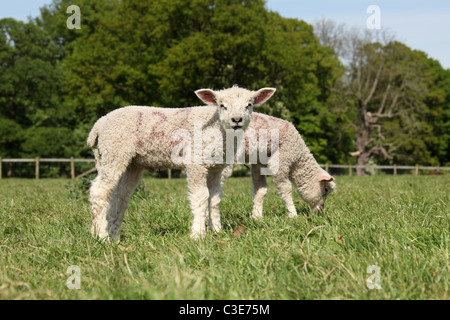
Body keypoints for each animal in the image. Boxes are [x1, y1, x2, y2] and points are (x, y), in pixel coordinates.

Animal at [84, 85, 274, 240]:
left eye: (249, 104)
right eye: (222, 105)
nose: (237, 120)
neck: (219, 130)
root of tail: (100, 122)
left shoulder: (216, 168)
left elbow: (215, 198)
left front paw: (216, 231)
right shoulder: (196, 161)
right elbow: (201, 196)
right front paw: (198, 234)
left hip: (132, 163)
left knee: (120, 197)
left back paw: (114, 236)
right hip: (114, 151)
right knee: (99, 192)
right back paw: (101, 236)